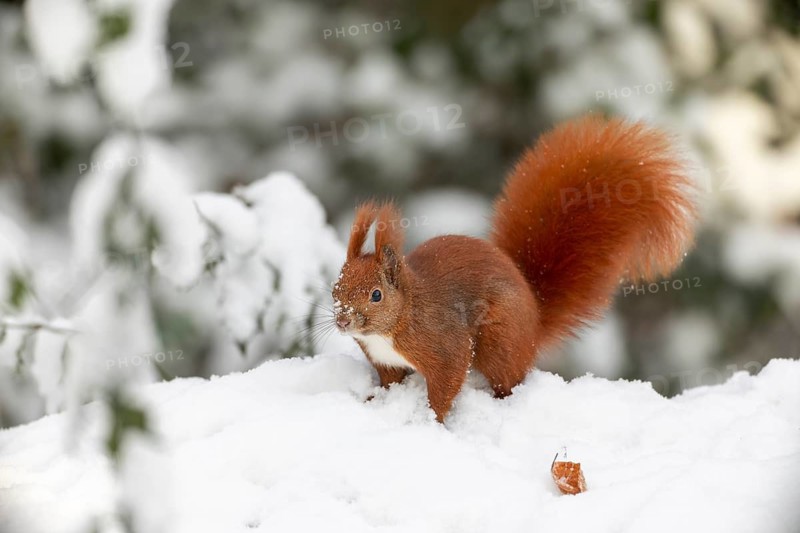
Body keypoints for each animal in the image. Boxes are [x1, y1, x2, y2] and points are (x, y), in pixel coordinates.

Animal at [332, 115, 697, 423]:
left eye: (376, 295)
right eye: (335, 289)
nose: (342, 320)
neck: (400, 317)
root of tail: (534, 321)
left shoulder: (444, 344)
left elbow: (446, 383)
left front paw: (431, 419)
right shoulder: (385, 363)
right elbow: (389, 382)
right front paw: (376, 402)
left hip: (499, 341)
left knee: (507, 381)